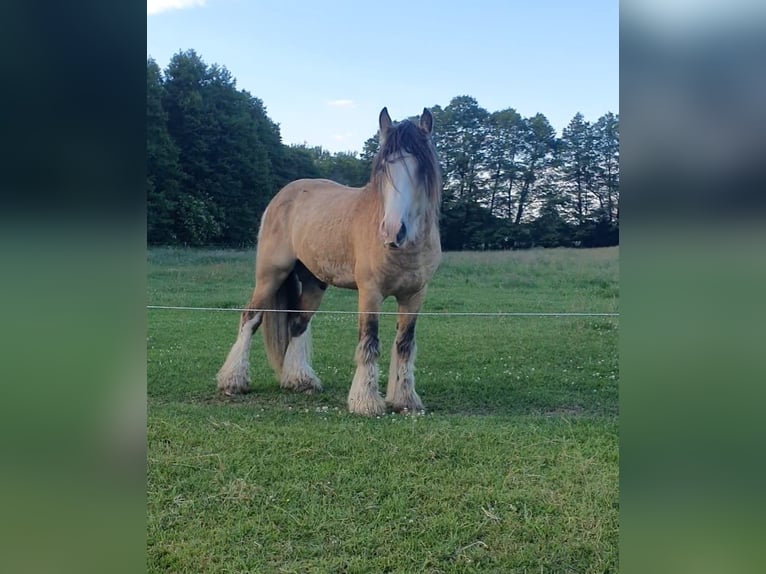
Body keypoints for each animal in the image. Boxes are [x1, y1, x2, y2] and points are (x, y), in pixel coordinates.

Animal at [216, 107, 444, 414]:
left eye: (420, 168)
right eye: (383, 168)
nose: (392, 231)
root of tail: (282, 195)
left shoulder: (414, 295)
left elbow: (405, 344)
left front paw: (405, 399)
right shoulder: (370, 292)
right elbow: (369, 340)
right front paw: (366, 401)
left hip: (314, 283)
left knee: (298, 323)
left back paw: (299, 380)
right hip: (270, 275)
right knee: (250, 317)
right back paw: (233, 381)